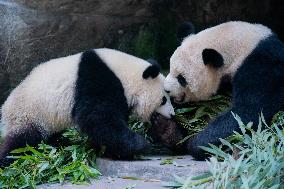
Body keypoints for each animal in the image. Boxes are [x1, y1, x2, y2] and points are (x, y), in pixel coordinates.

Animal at [0, 48, 174, 166]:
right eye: (163, 100)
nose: (172, 115)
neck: (125, 75)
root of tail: (5, 107)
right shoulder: (96, 79)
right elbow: (97, 118)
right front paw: (140, 145)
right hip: (29, 113)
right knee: (22, 141)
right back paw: (9, 160)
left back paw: (61, 144)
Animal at [161, 20, 284, 159]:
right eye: (170, 68)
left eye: (182, 78)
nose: (166, 89)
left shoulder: (262, 67)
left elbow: (248, 112)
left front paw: (198, 143)